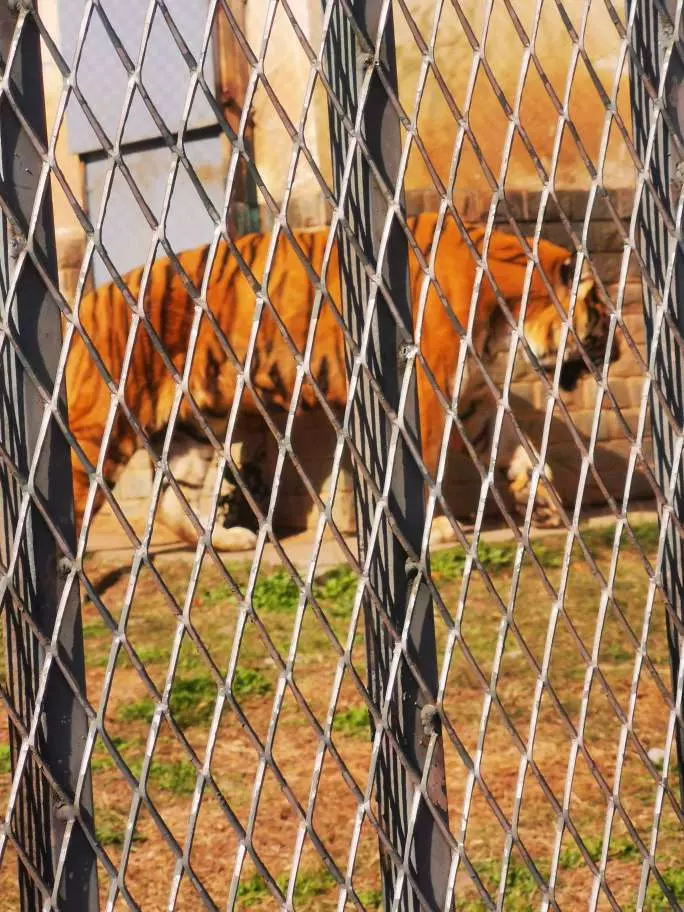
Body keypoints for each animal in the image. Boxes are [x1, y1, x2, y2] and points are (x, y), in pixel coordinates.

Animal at [65, 213, 616, 551]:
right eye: (602, 322)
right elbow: (426, 468)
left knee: (175, 503)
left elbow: (521, 453)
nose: (619, 354)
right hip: (99, 427)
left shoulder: (474, 399)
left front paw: (545, 506)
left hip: (193, 429)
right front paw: (438, 528)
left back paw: (229, 542)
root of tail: (86, 301)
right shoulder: (428, 392)